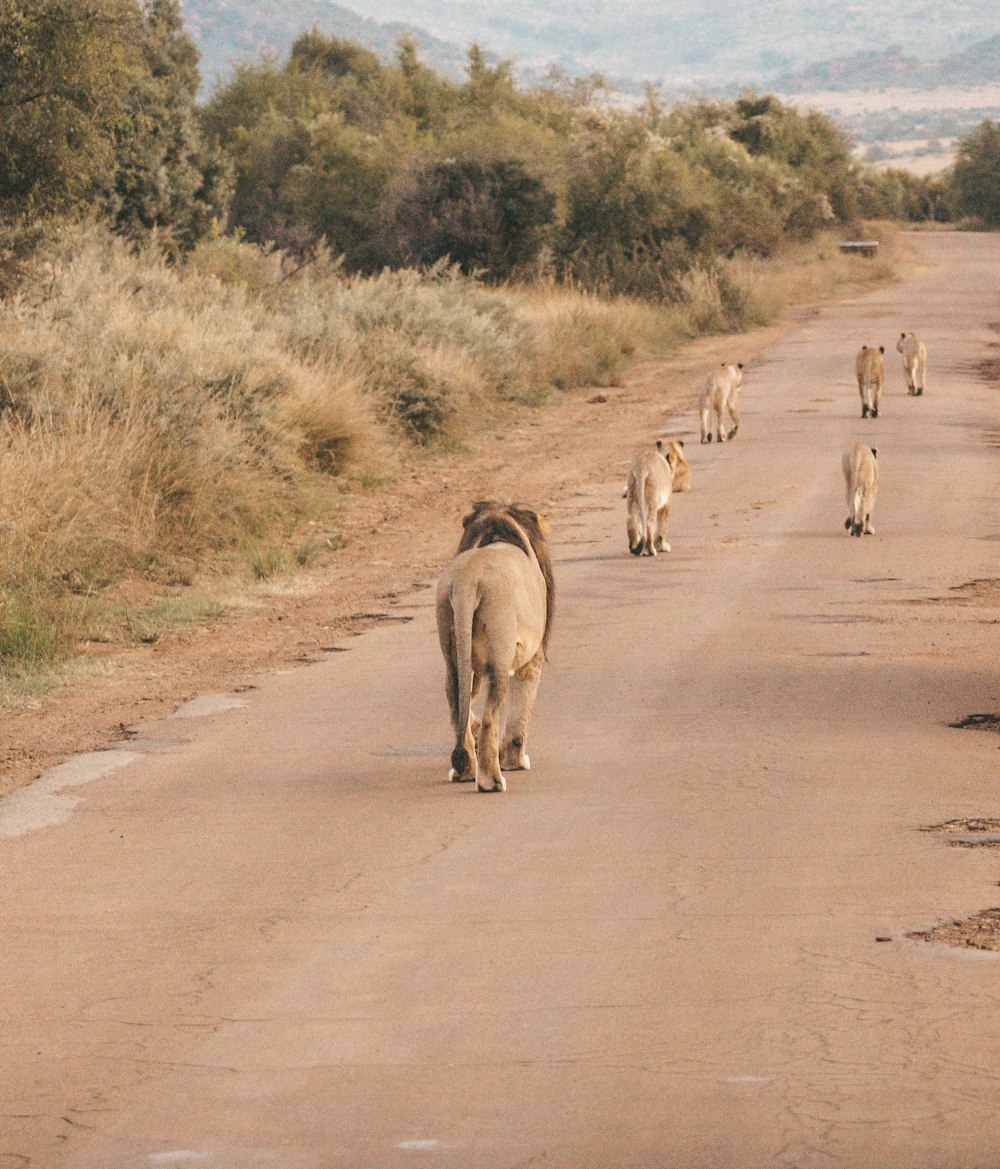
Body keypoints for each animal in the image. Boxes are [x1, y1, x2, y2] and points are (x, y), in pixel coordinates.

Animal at [435, 502, 554, 794]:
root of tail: (468, 580)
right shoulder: (533, 657)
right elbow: (521, 710)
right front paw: (515, 761)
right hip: (499, 659)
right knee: (491, 718)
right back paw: (492, 780)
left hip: (452, 650)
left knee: (456, 703)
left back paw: (465, 770)